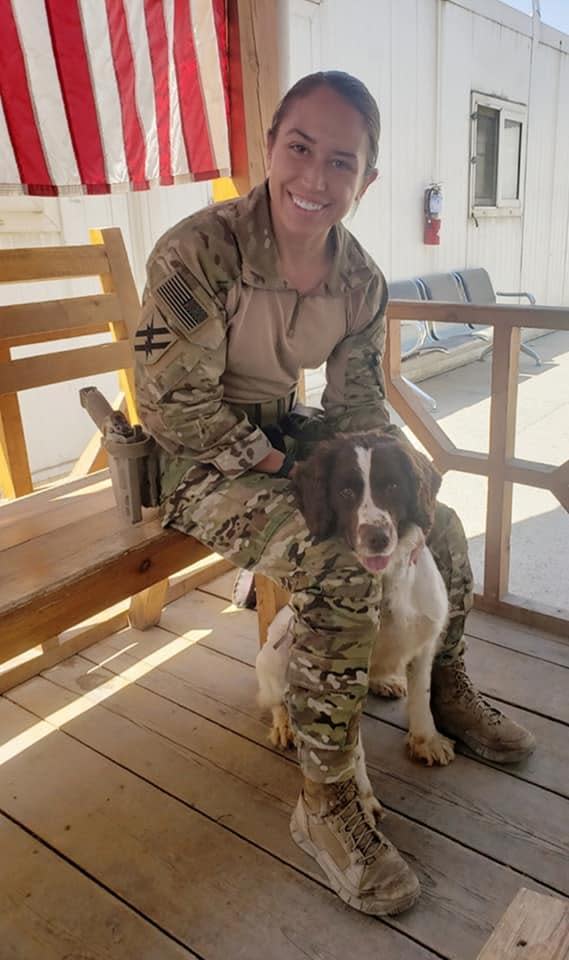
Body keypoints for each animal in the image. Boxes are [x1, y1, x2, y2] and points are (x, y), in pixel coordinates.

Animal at [255, 434, 454, 804]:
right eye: (345, 492)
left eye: (393, 486)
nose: (377, 537)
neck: (386, 583)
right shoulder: (341, 675)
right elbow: (351, 748)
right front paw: (363, 798)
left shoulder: (423, 642)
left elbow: (422, 698)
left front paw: (426, 741)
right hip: (272, 654)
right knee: (278, 699)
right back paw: (285, 725)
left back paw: (387, 681)